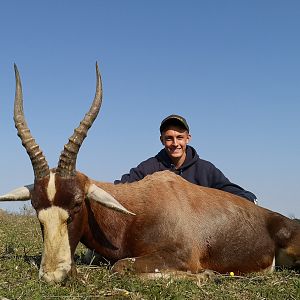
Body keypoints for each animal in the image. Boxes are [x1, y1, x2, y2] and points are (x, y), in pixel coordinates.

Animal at [0, 63, 298, 284]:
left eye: (76, 204)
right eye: (36, 207)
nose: (53, 275)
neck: (133, 215)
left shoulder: (181, 256)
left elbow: (120, 267)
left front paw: (207, 274)